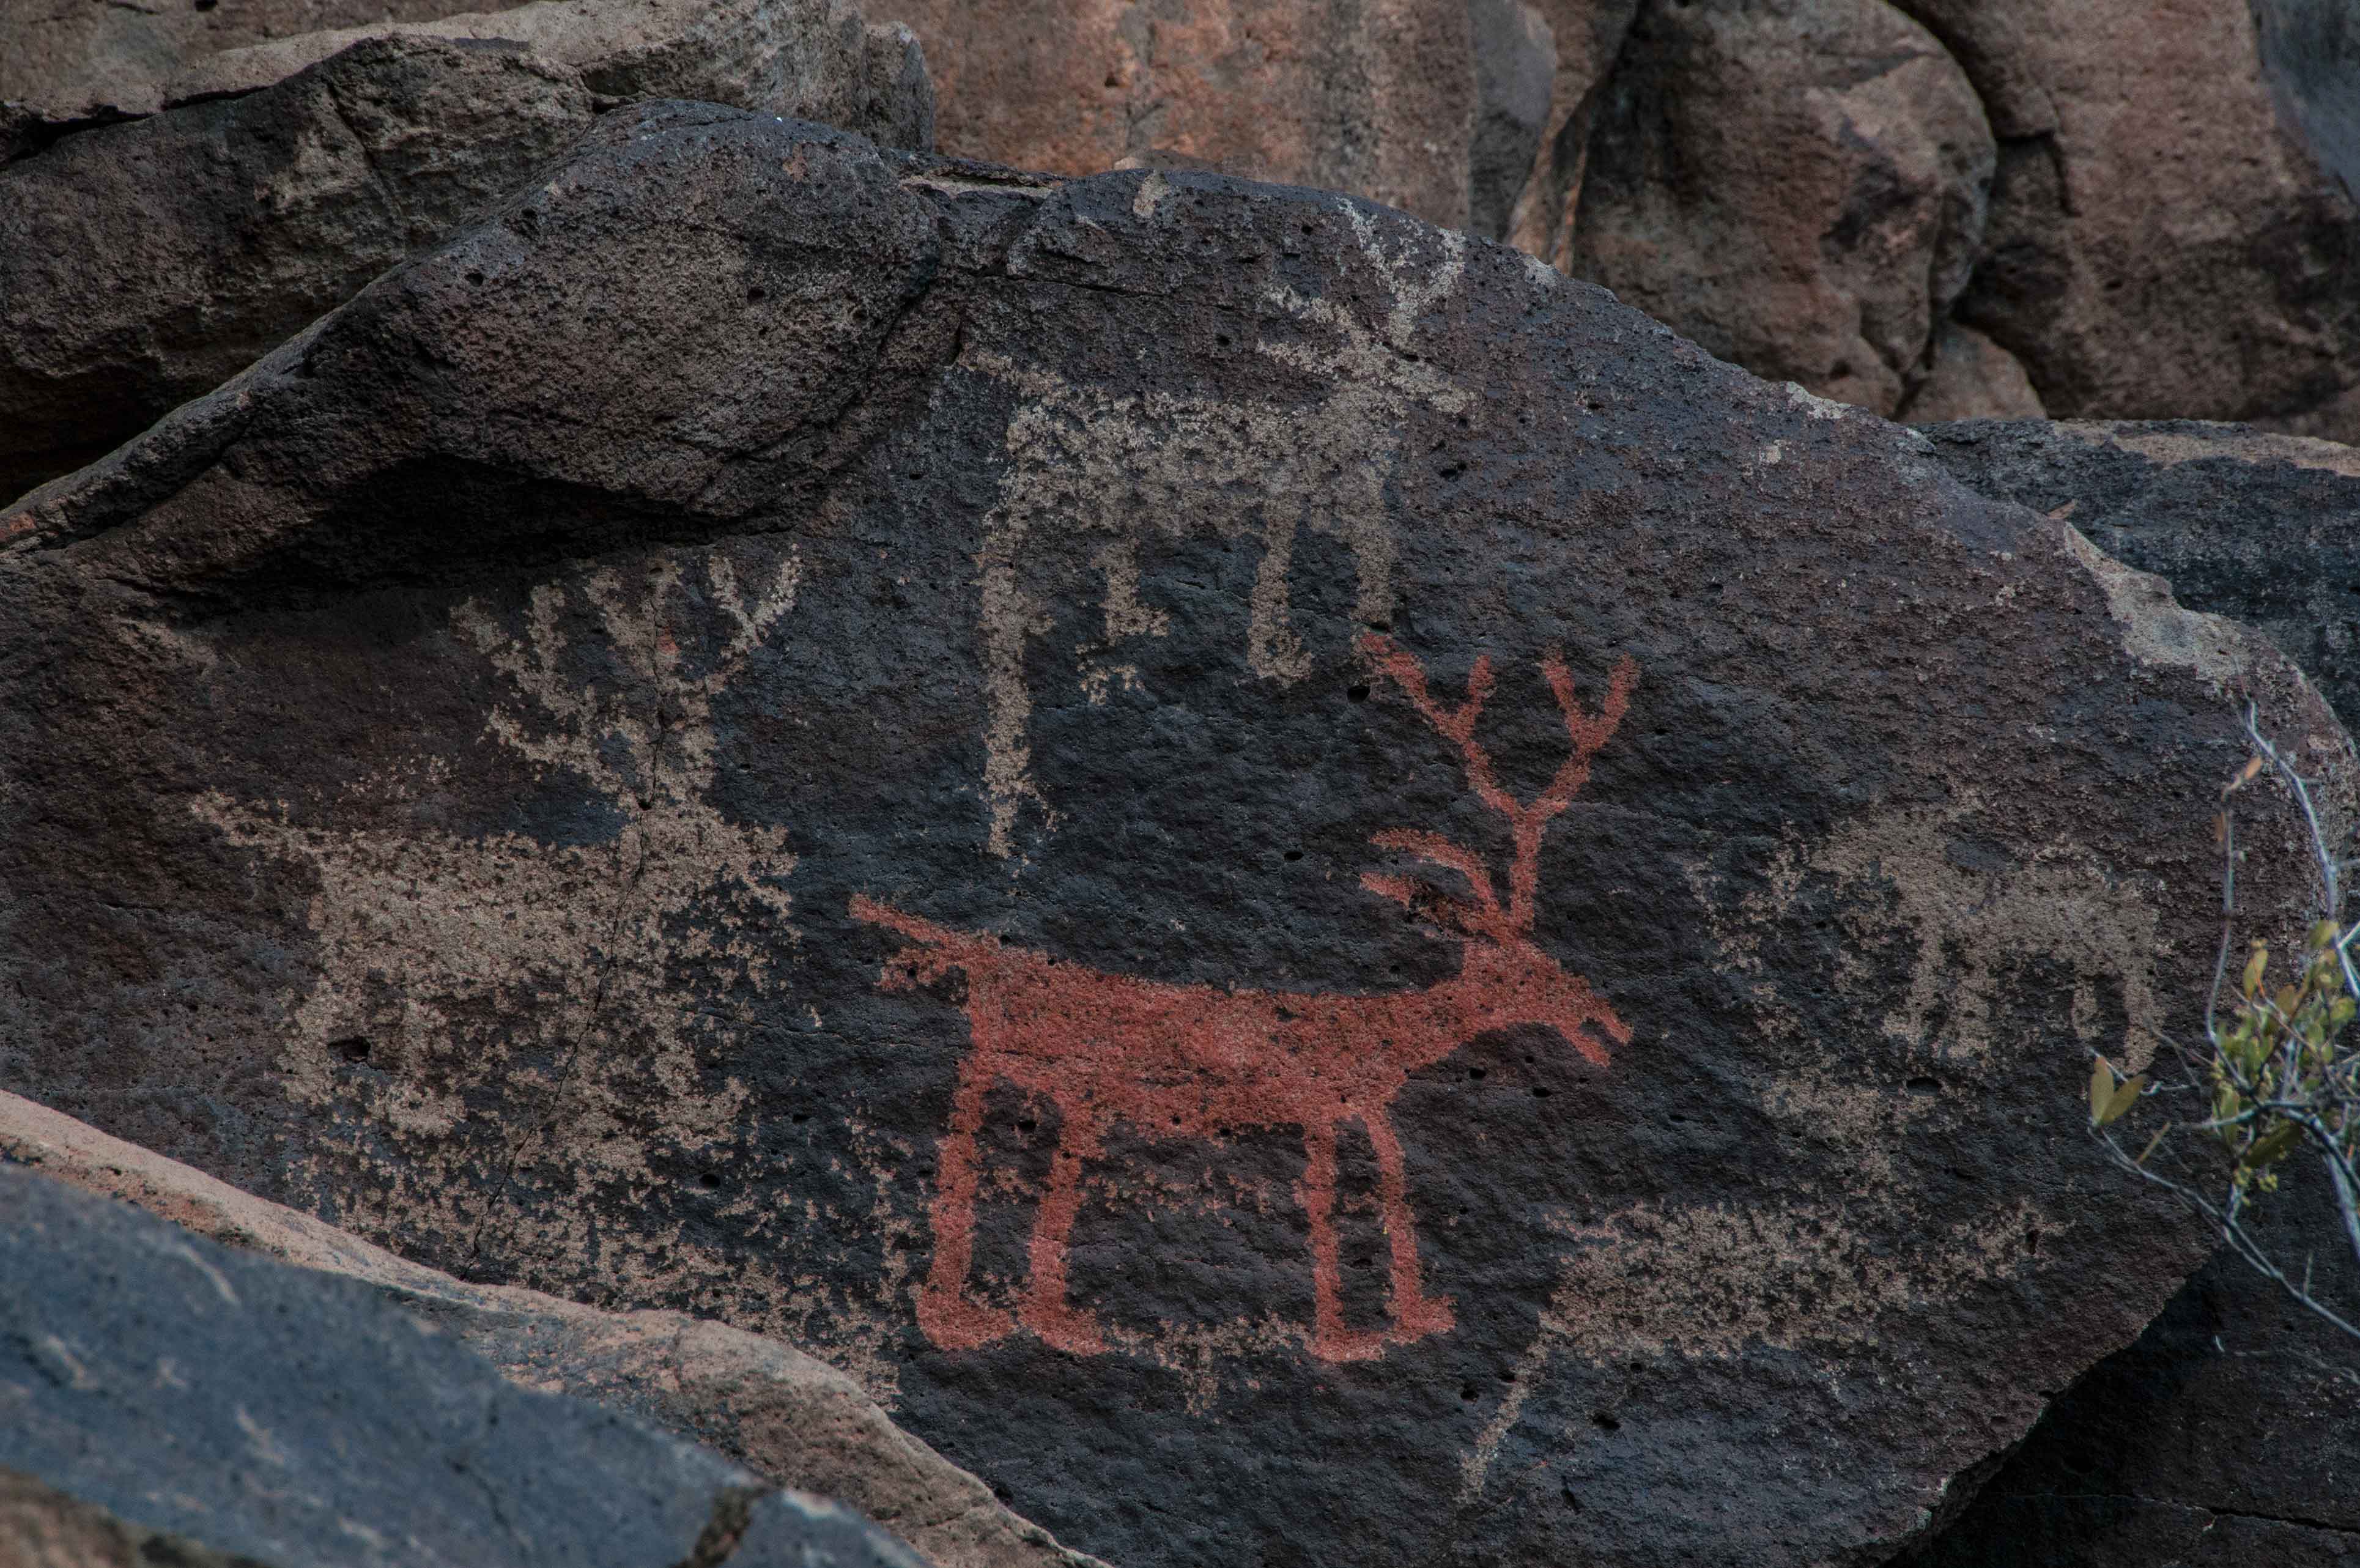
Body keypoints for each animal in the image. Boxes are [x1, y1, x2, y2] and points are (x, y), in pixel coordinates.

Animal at [851, 634, 1638, 1363]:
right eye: (1530, 970)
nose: (1612, 1019)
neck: (1380, 1027)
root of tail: (985, 951)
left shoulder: (1364, 1105)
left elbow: (1389, 1181)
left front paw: (1413, 1319)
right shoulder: (1319, 1102)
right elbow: (1325, 1196)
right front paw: (1343, 1337)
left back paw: (1006, 1314)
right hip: (1043, 1063)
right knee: (983, 1140)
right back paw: (996, 1319)